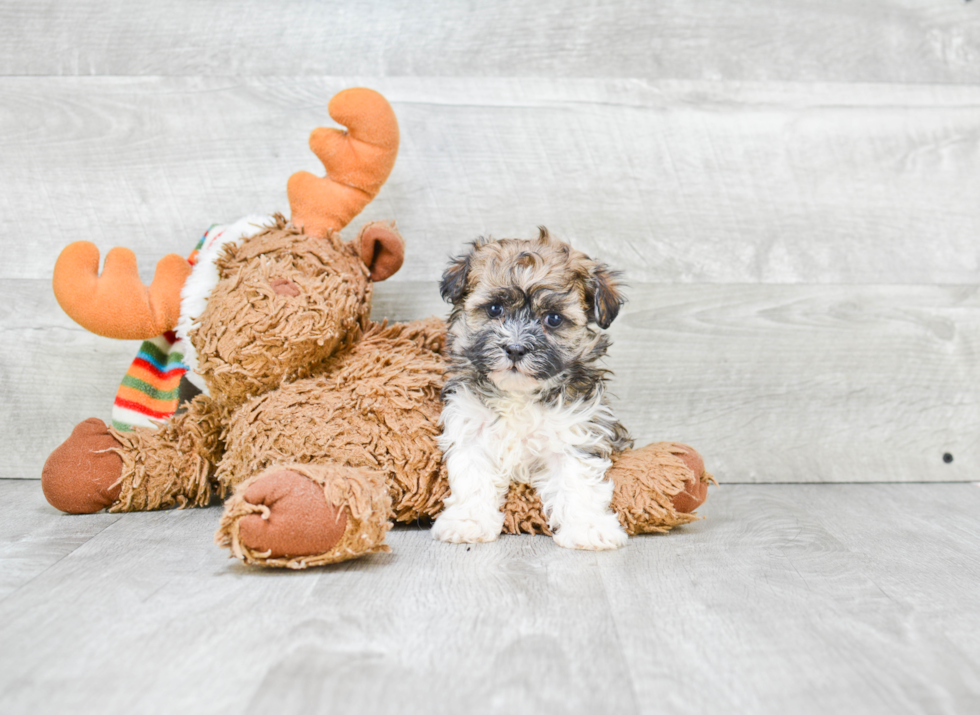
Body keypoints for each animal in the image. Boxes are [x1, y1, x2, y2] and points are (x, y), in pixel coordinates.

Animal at [430, 229, 632, 552]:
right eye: (495, 309)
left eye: (553, 319)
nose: (515, 348)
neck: (519, 395)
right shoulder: (469, 426)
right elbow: (473, 475)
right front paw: (468, 521)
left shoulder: (576, 430)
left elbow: (577, 478)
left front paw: (588, 528)